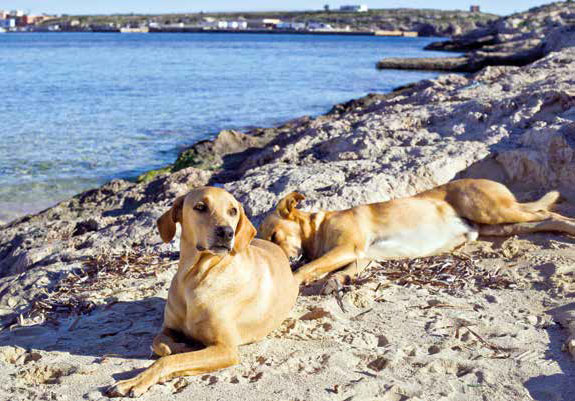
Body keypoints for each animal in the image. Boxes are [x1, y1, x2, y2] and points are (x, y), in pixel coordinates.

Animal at [108, 186, 300, 396]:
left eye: (233, 211)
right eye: (200, 207)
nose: (227, 232)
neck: (194, 277)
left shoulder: (226, 349)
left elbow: (167, 361)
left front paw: (135, 381)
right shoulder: (169, 327)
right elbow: (158, 342)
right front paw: (180, 347)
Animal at [260, 178, 575, 284]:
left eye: (274, 237)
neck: (317, 228)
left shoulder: (347, 248)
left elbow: (307, 267)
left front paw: (295, 279)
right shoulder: (363, 256)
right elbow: (339, 271)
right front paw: (337, 281)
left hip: (494, 211)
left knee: (549, 213)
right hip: (501, 224)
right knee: (544, 221)